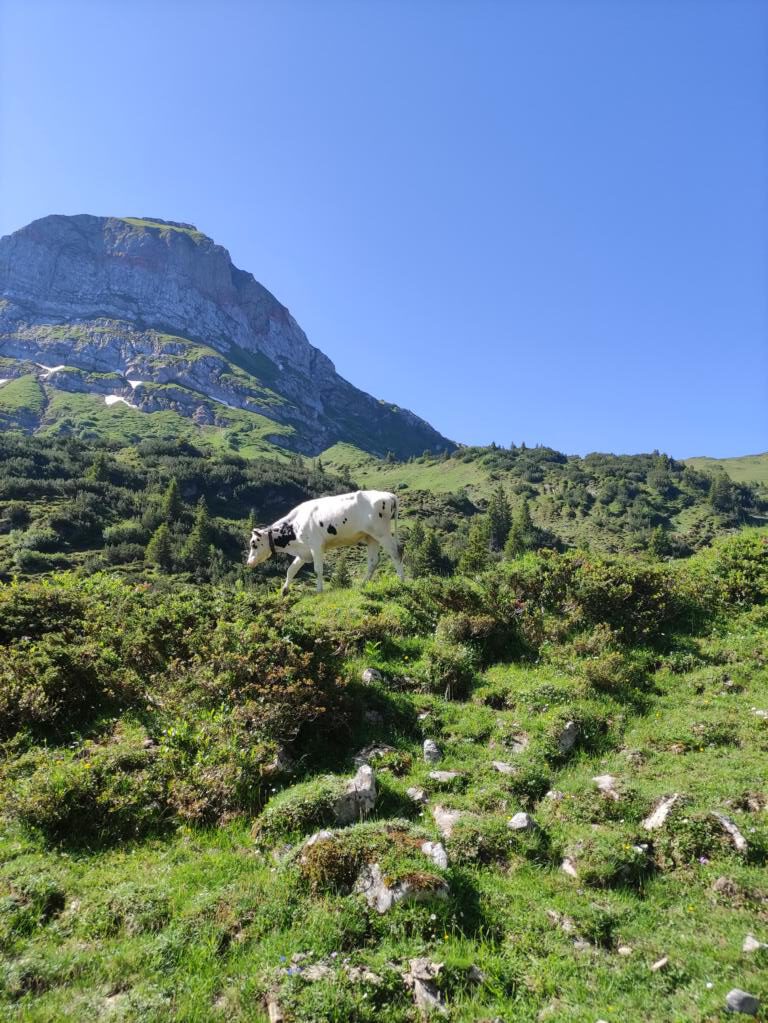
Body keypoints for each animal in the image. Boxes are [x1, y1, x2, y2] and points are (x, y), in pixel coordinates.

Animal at [246, 491, 404, 597]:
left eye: (254, 544)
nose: (249, 562)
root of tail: (389, 495)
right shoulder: (304, 551)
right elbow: (291, 570)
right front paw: (284, 591)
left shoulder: (316, 546)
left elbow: (318, 570)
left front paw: (319, 590)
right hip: (371, 537)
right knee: (373, 561)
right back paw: (362, 584)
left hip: (382, 533)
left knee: (396, 552)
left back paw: (402, 580)